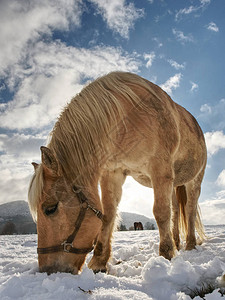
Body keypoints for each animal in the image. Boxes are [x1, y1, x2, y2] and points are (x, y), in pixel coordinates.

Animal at [27, 71, 207, 274]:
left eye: (50, 209)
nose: (48, 270)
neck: (127, 118)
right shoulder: (113, 173)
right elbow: (108, 215)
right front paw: (99, 262)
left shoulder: (160, 171)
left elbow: (160, 212)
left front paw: (166, 255)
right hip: (175, 184)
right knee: (176, 211)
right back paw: (177, 243)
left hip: (194, 181)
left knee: (190, 210)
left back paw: (190, 244)